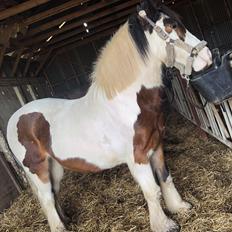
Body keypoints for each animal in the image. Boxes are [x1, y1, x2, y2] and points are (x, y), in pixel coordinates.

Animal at [6, 0, 213, 231]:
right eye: (171, 25)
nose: (207, 57)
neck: (127, 103)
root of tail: (15, 118)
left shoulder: (157, 146)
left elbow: (165, 178)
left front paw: (180, 207)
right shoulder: (138, 158)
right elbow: (152, 191)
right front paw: (164, 224)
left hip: (55, 166)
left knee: (54, 193)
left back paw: (66, 219)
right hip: (38, 169)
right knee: (47, 199)